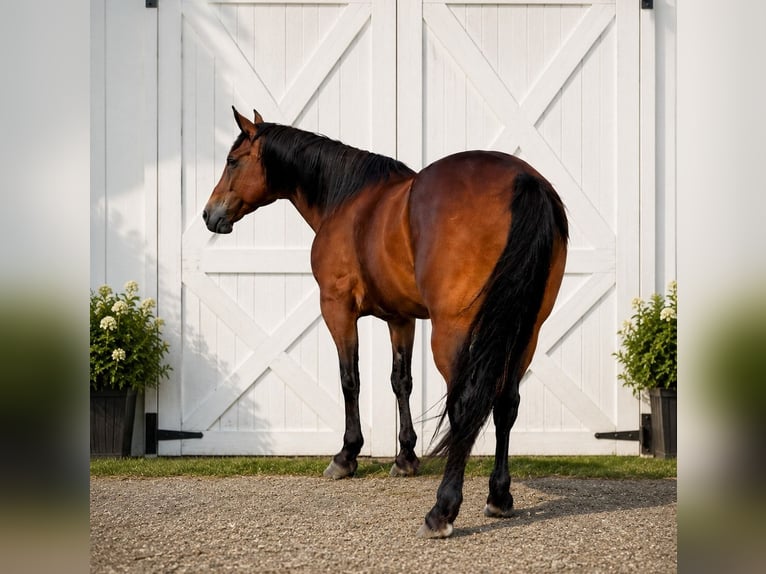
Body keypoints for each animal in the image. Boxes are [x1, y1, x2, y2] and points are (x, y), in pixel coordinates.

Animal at [204, 107, 568, 538]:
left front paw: (346, 455)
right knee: (506, 403)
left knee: (465, 406)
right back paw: (499, 496)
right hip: (524, 333)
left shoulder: (337, 309)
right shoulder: (401, 318)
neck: (346, 200)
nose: (209, 214)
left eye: (233, 160)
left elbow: (350, 380)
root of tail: (523, 180)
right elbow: (401, 381)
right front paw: (406, 456)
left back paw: (442, 511)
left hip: (454, 333)